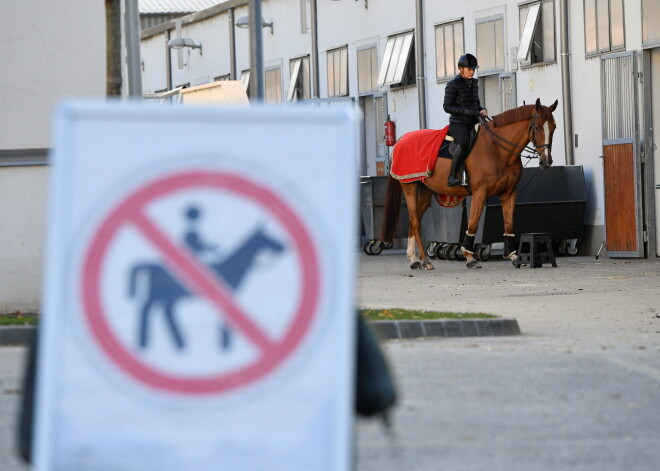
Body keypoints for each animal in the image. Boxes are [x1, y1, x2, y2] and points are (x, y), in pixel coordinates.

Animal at [382, 97, 556, 270]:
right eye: (537, 127)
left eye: (553, 127)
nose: (546, 161)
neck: (497, 150)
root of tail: (401, 139)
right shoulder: (480, 192)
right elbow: (473, 223)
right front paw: (469, 256)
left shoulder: (509, 193)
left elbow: (509, 224)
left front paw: (513, 256)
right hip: (410, 188)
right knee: (415, 222)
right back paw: (425, 260)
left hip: (425, 191)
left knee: (415, 220)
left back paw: (413, 259)